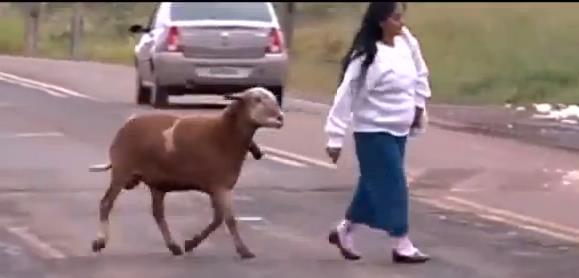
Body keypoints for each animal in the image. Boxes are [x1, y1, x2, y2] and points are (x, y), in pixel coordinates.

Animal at [88, 87, 284, 258]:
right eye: (257, 100)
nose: (280, 118)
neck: (225, 134)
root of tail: (126, 125)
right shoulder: (220, 186)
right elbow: (229, 220)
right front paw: (244, 251)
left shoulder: (216, 187)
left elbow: (218, 219)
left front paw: (190, 243)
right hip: (122, 170)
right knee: (106, 203)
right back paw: (99, 242)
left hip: (156, 184)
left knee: (158, 213)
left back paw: (174, 246)